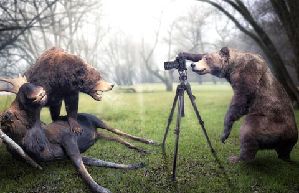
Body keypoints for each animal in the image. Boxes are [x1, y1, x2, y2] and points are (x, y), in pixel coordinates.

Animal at [0, 79, 155, 193]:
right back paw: (141, 149)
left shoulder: (68, 140)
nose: (37, 89)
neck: (44, 148)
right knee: (118, 138)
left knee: (119, 132)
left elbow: (81, 168)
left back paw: (149, 142)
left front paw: (101, 189)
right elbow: (99, 162)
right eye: (8, 115)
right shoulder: (66, 155)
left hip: (100, 122)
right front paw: (137, 164)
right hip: (100, 134)